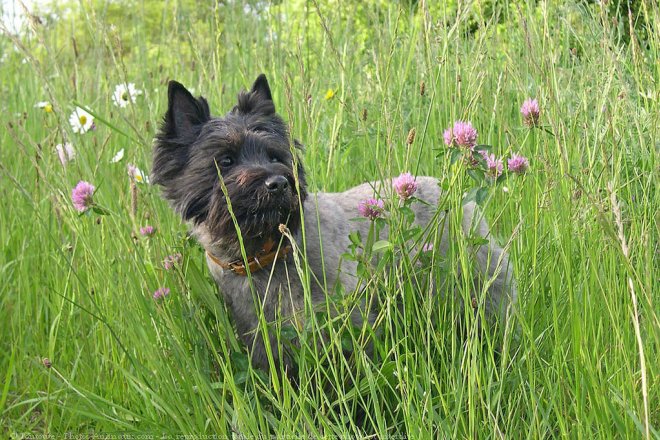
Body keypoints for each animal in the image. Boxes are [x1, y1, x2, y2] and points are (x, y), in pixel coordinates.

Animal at [153, 75, 516, 372]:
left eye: (275, 155)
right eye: (225, 160)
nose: (278, 184)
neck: (266, 257)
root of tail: (448, 190)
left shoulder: (345, 324)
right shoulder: (266, 344)